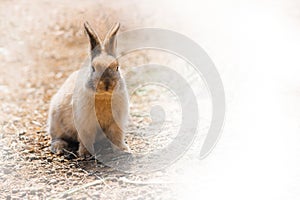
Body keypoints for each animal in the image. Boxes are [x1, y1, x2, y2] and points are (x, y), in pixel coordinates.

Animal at [47, 21, 129, 156]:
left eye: (117, 67)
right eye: (93, 68)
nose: (107, 84)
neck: (103, 96)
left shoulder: (116, 122)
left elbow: (116, 136)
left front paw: (123, 150)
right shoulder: (85, 124)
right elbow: (86, 138)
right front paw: (85, 153)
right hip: (55, 122)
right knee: (57, 137)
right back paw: (59, 147)